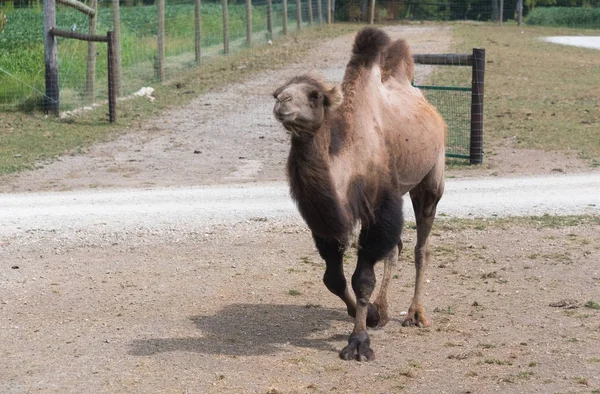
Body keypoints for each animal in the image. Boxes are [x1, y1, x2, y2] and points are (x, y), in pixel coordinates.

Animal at [272, 26, 446, 362]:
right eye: (280, 91)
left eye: (315, 95)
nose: (282, 102)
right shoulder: (328, 220)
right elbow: (334, 279)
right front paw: (368, 315)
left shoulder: (379, 206)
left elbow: (362, 279)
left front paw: (359, 342)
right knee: (396, 248)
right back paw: (385, 310)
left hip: (432, 177)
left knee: (421, 246)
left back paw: (416, 314)